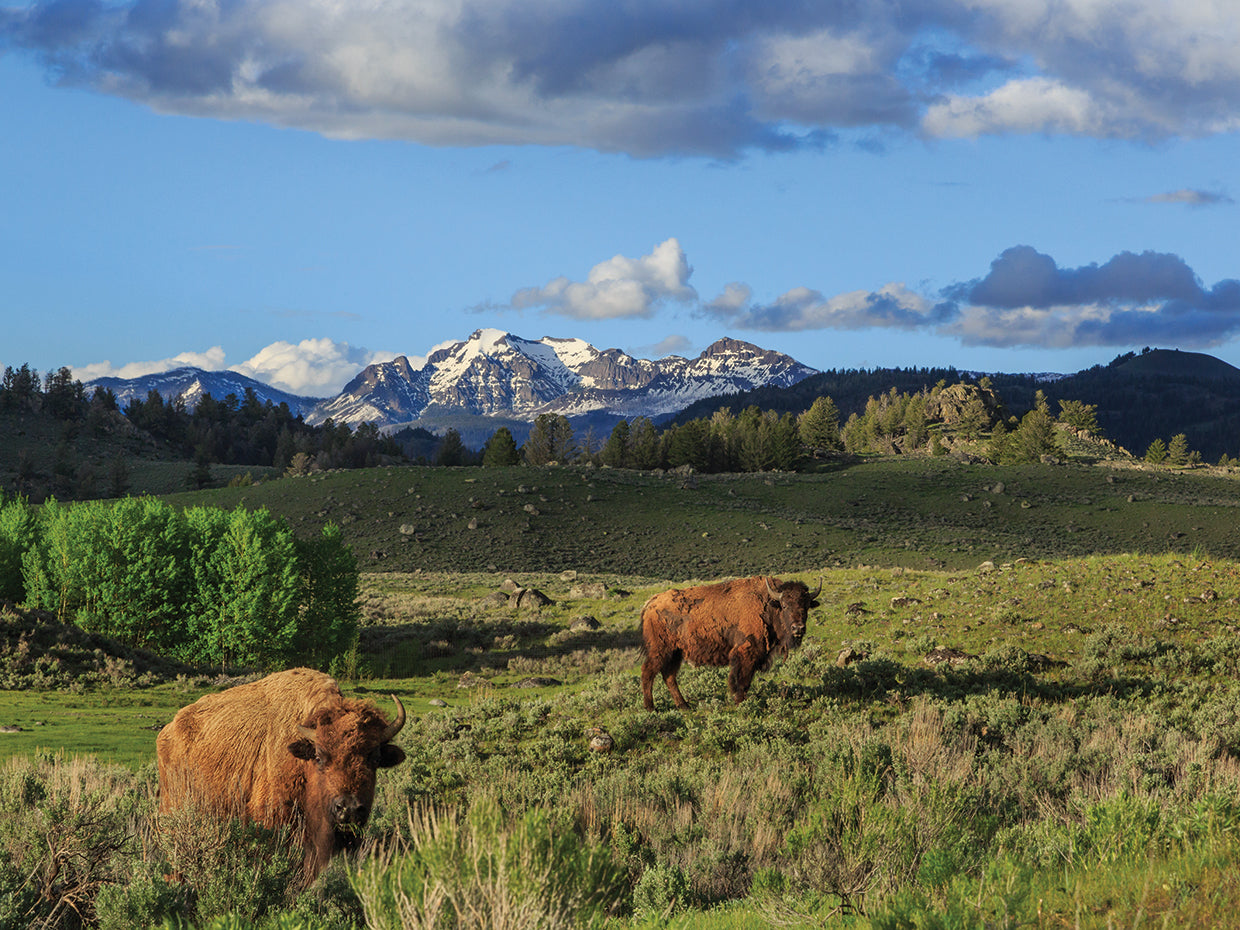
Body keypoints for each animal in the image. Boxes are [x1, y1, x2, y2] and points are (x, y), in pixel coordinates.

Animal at [640, 575, 820, 710]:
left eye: (806, 606)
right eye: (784, 605)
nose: (798, 628)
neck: (768, 605)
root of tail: (651, 603)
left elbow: (746, 680)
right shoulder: (745, 653)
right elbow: (741, 680)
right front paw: (740, 702)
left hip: (676, 652)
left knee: (669, 676)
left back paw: (684, 706)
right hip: (660, 650)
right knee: (648, 672)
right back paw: (651, 708)